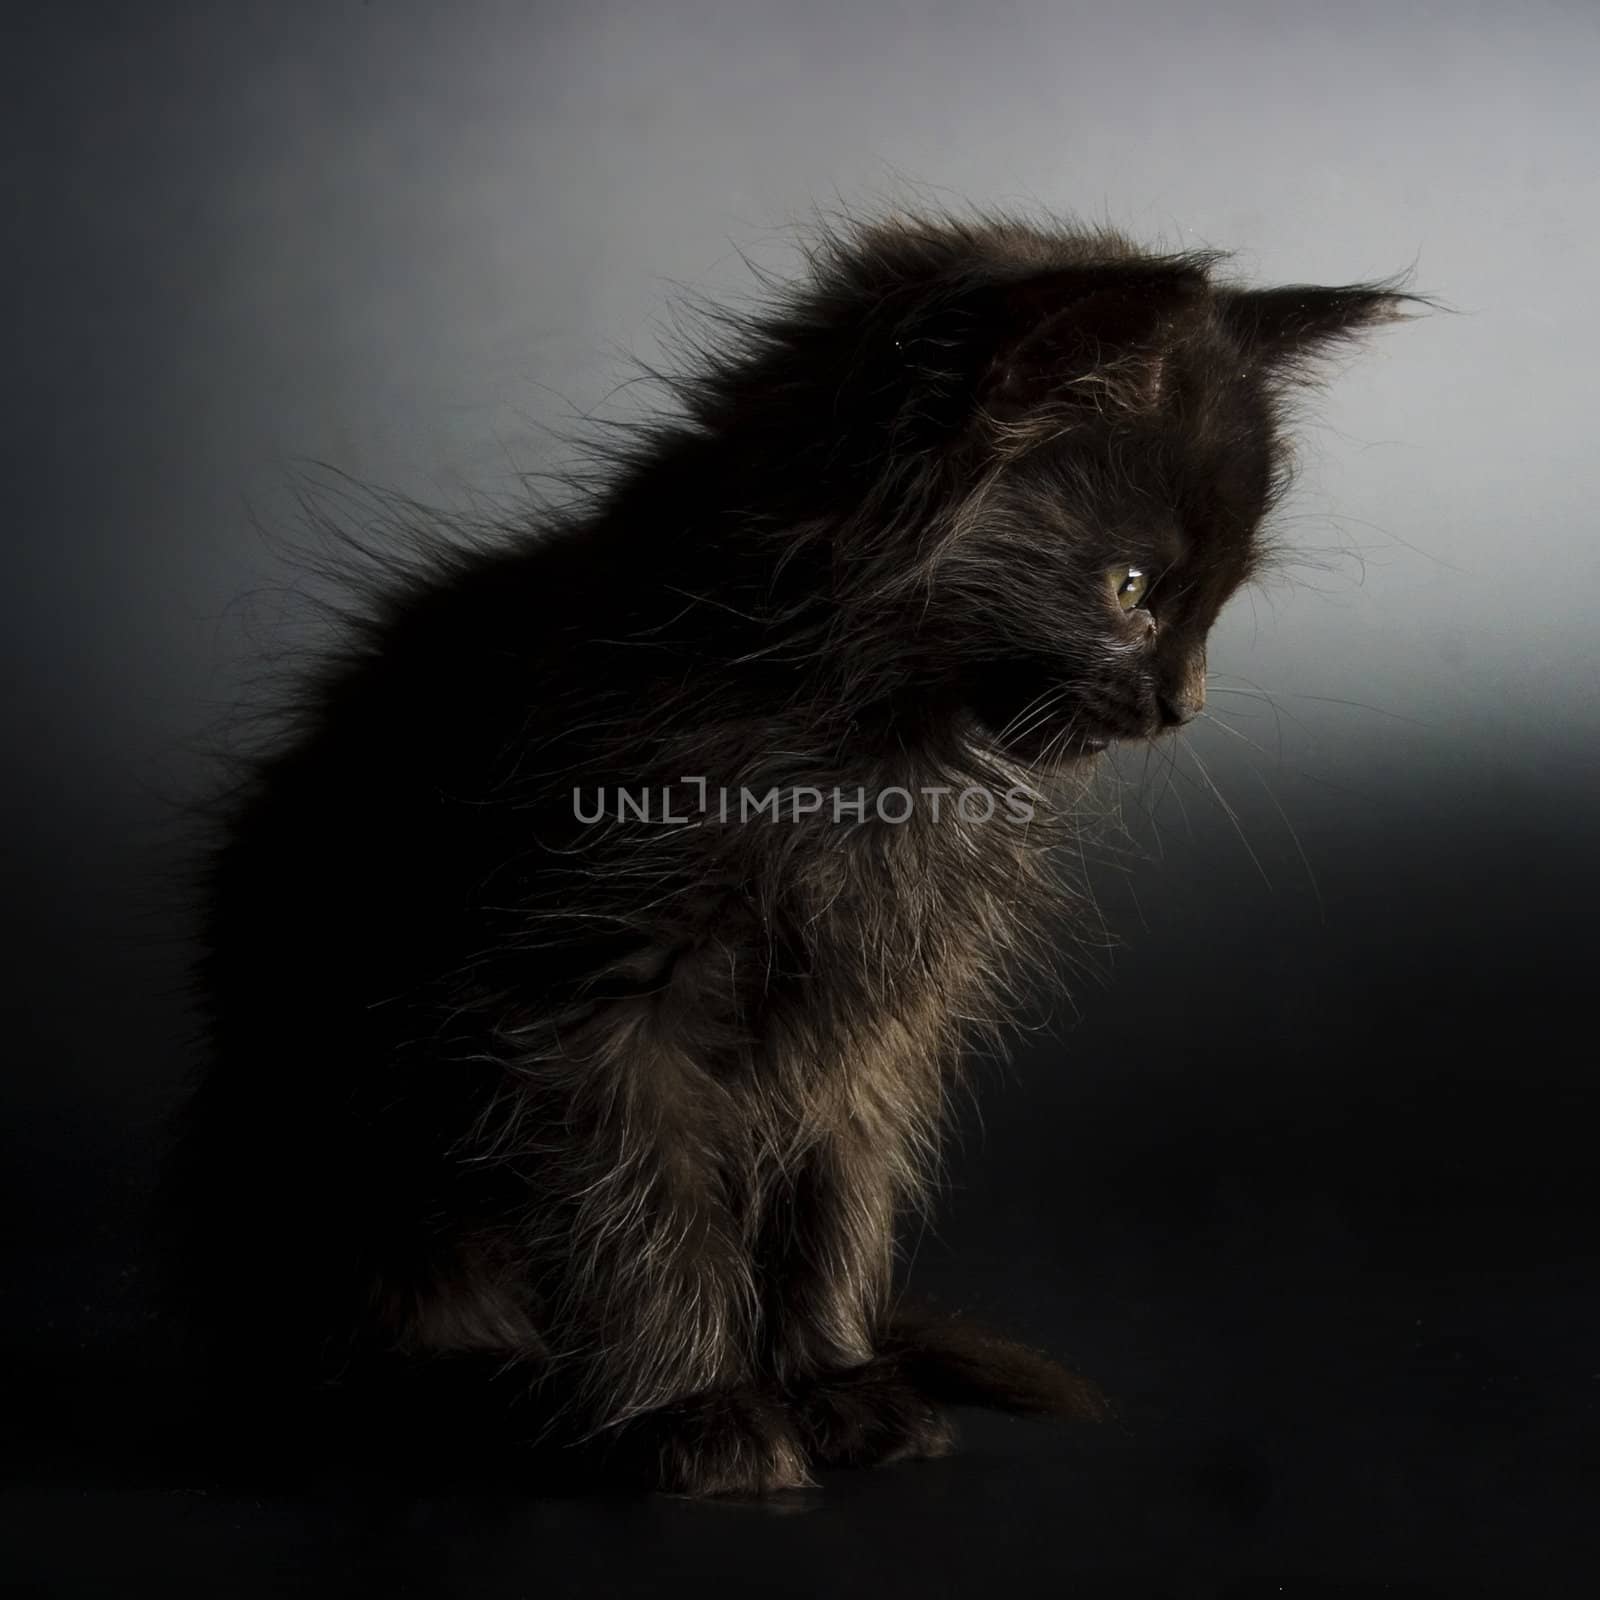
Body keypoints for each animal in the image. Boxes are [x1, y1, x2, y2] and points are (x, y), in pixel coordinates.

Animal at [162, 206, 1414, 1491]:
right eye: (1128, 588)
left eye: (1215, 606)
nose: (1184, 704)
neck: (867, 760)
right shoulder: (586, 1008)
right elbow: (647, 1219)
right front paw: (700, 1413)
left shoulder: (870, 1031)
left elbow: (833, 1207)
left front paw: (833, 1386)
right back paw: (478, 1384)